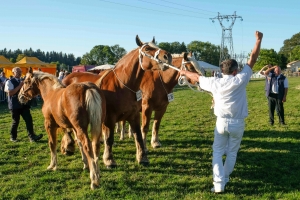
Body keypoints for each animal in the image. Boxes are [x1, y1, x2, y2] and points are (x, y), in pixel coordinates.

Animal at [62, 35, 172, 167]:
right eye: (146, 49)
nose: (167, 56)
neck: (122, 85)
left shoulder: (134, 115)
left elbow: (138, 135)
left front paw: (142, 157)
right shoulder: (110, 118)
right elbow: (109, 139)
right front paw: (109, 159)